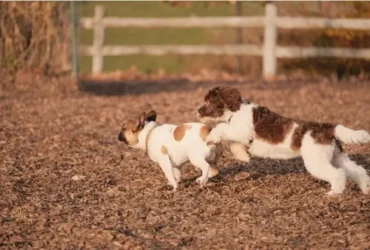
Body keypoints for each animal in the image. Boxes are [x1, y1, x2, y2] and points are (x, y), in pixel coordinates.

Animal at [198, 86, 370, 195]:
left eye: (208, 102)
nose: (197, 111)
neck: (236, 110)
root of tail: (328, 128)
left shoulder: (241, 131)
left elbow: (222, 129)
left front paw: (212, 137)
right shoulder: (240, 135)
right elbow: (233, 143)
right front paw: (244, 156)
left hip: (316, 161)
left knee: (338, 174)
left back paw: (335, 192)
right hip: (337, 156)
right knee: (357, 170)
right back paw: (365, 188)